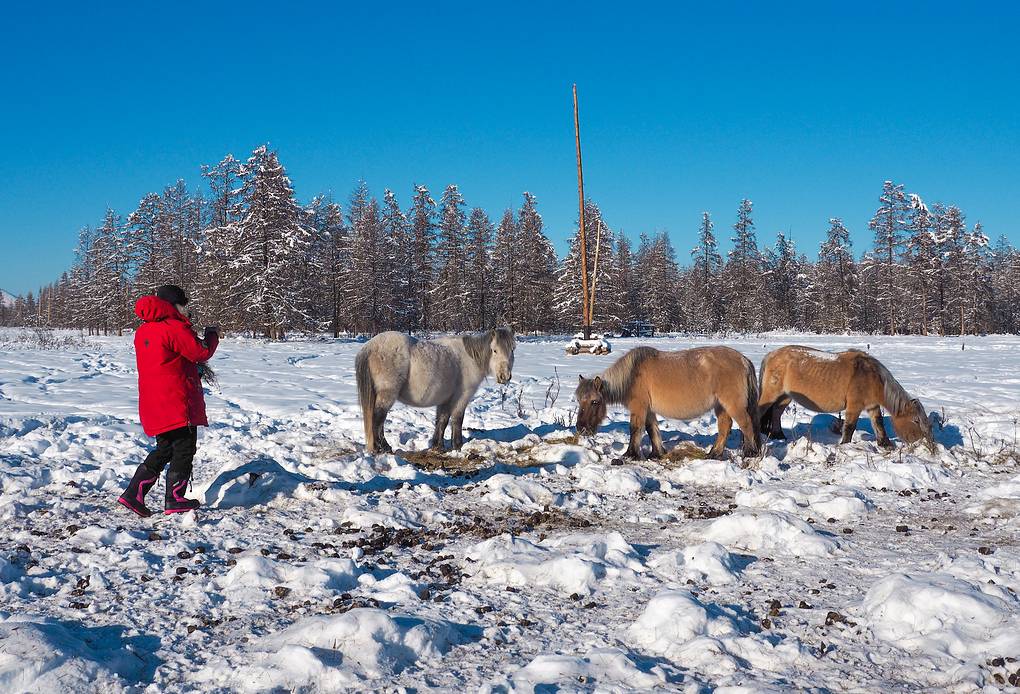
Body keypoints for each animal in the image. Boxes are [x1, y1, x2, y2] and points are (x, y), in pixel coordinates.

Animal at [359, 328, 518, 455]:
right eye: (494, 350)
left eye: (512, 349)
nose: (505, 377)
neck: (470, 358)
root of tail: (371, 346)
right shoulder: (462, 397)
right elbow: (457, 419)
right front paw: (457, 446)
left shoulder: (445, 399)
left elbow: (442, 421)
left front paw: (438, 445)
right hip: (387, 395)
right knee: (378, 419)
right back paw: (382, 447)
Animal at [579, 347, 762, 461]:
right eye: (579, 400)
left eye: (594, 401)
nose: (581, 429)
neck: (632, 376)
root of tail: (744, 360)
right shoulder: (649, 410)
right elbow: (651, 429)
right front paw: (657, 453)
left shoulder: (639, 407)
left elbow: (635, 429)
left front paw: (630, 454)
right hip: (721, 406)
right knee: (725, 427)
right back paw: (713, 454)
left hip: (733, 405)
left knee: (746, 425)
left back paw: (750, 454)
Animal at [758, 344, 934, 447]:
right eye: (916, 420)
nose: (925, 443)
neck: (869, 376)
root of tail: (771, 354)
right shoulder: (854, 406)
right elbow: (849, 427)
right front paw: (844, 445)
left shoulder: (872, 406)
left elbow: (878, 423)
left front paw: (885, 444)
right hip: (771, 394)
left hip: (785, 397)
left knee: (776, 413)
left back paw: (779, 436)